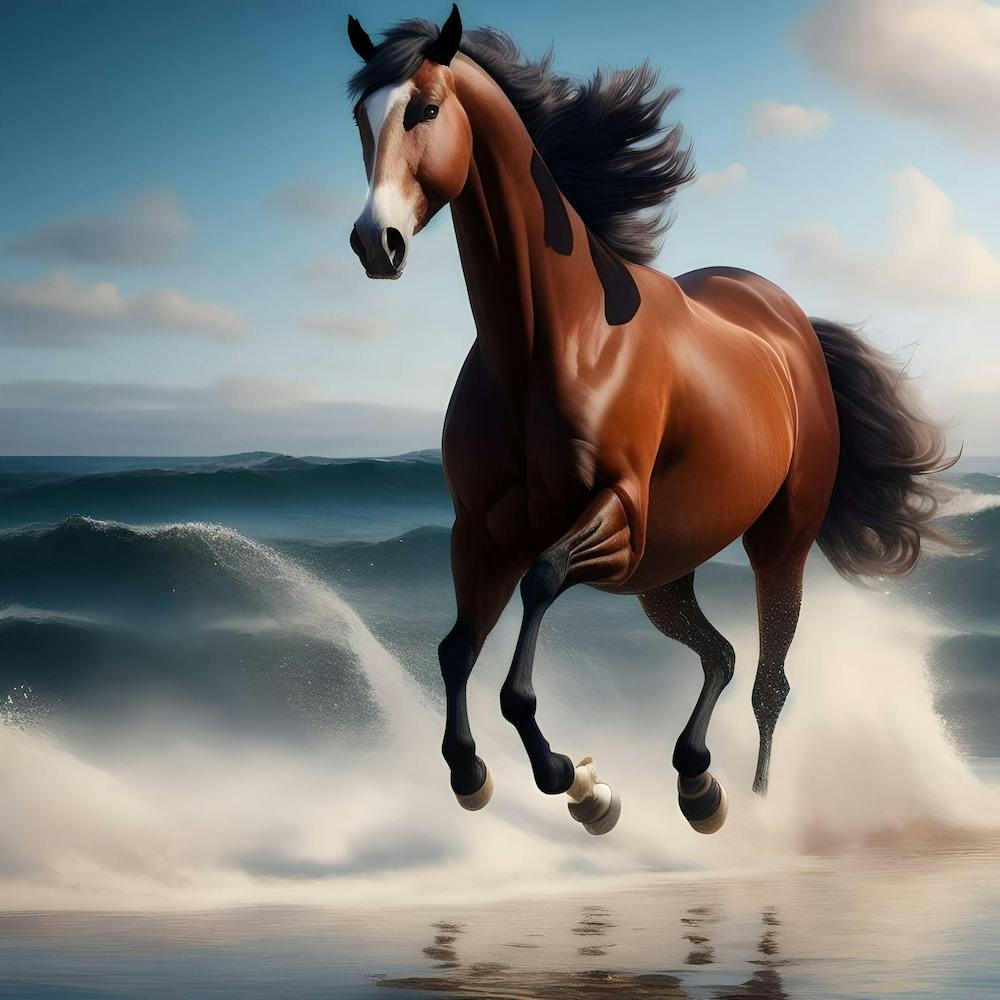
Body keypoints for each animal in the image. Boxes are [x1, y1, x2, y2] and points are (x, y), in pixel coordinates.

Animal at [345, 6, 952, 835]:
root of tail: (787, 320)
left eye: (427, 109)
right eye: (359, 117)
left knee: (769, 681)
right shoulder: (482, 531)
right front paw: (478, 775)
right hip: (662, 575)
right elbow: (455, 650)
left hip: (775, 544)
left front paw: (572, 781)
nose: (375, 242)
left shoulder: (615, 516)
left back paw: (758, 810)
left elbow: (535, 604)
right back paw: (698, 785)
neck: (550, 344)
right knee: (721, 655)